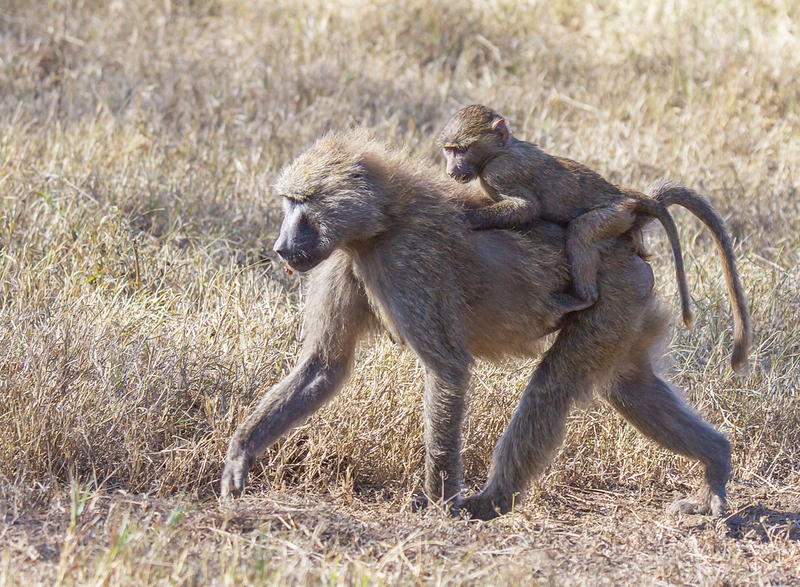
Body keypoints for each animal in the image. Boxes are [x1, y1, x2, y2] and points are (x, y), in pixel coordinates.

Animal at [220, 129, 742, 521]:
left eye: (302, 204)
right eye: (287, 203)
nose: (280, 249)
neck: (381, 221)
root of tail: (630, 233)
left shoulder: (408, 263)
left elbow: (447, 368)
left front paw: (437, 502)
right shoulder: (341, 262)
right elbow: (324, 366)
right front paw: (240, 455)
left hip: (612, 296)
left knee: (553, 386)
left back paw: (491, 502)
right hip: (630, 304)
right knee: (630, 387)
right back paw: (716, 465)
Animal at [439, 105, 752, 374]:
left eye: (462, 149)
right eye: (449, 150)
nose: (451, 171)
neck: (500, 150)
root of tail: (626, 195)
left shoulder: (501, 172)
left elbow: (526, 208)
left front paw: (468, 217)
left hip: (614, 215)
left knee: (582, 231)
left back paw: (582, 298)